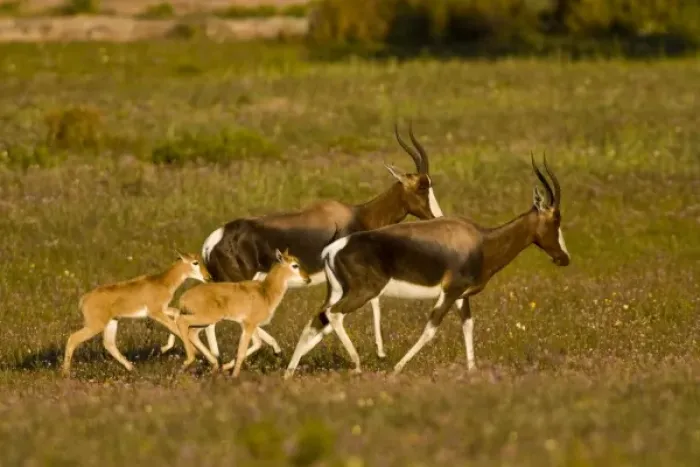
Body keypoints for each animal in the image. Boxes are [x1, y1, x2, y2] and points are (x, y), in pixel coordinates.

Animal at [61, 252, 211, 376]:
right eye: (195, 262)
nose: (208, 277)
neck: (162, 282)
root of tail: (84, 299)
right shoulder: (155, 312)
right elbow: (173, 326)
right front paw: (192, 354)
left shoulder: (164, 309)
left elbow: (176, 315)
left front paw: (166, 348)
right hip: (95, 326)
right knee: (73, 338)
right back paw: (65, 373)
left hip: (112, 322)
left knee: (109, 344)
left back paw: (132, 368)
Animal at [160, 122, 444, 361]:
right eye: (422, 186)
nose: (438, 217)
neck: (357, 214)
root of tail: (213, 240)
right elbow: (361, 304)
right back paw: (263, 350)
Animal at [175, 249, 311, 377]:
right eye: (295, 265)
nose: (308, 279)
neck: (265, 292)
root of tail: (183, 297)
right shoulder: (249, 325)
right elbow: (243, 351)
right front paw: (234, 376)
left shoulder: (249, 325)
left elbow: (259, 343)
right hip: (206, 319)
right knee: (182, 322)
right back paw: (189, 361)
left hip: (206, 322)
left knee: (192, 333)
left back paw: (215, 365)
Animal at [284, 155, 571, 379]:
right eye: (556, 219)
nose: (564, 258)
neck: (480, 240)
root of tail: (334, 248)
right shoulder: (449, 292)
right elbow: (431, 328)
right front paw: (397, 368)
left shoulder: (461, 296)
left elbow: (468, 326)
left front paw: (472, 371)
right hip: (362, 293)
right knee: (334, 315)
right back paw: (356, 364)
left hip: (338, 291)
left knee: (317, 320)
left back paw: (289, 373)